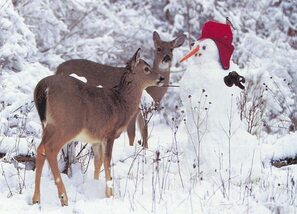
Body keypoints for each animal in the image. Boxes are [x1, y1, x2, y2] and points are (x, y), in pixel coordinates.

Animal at [31, 49, 164, 206]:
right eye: (146, 69)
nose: (161, 78)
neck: (122, 103)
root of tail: (44, 87)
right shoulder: (110, 133)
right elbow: (107, 161)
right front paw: (110, 194)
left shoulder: (96, 139)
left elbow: (97, 162)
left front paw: (95, 187)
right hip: (67, 124)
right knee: (50, 149)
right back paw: (64, 198)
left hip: (48, 125)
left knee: (40, 149)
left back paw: (36, 198)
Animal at [55, 32, 185, 149]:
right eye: (158, 48)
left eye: (172, 49)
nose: (166, 58)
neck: (151, 91)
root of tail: (58, 68)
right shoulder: (134, 112)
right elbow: (132, 134)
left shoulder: (143, 113)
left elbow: (145, 133)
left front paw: (145, 150)